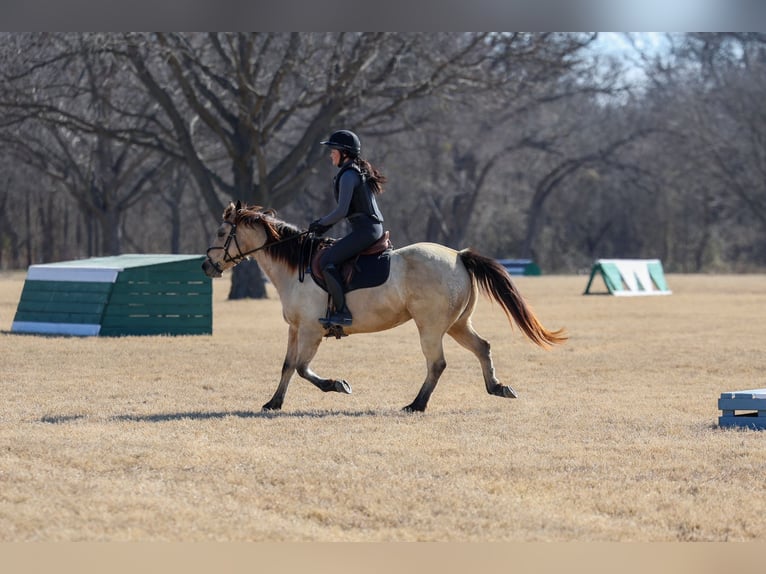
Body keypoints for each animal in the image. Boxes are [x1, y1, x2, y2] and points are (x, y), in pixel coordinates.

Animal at [202, 202, 567, 412]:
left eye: (221, 232)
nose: (207, 266)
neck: (296, 268)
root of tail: (459, 255)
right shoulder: (295, 329)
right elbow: (288, 366)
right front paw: (274, 402)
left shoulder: (311, 330)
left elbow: (304, 368)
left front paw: (338, 385)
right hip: (457, 324)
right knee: (482, 347)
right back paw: (497, 388)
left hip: (431, 326)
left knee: (437, 363)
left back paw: (417, 404)